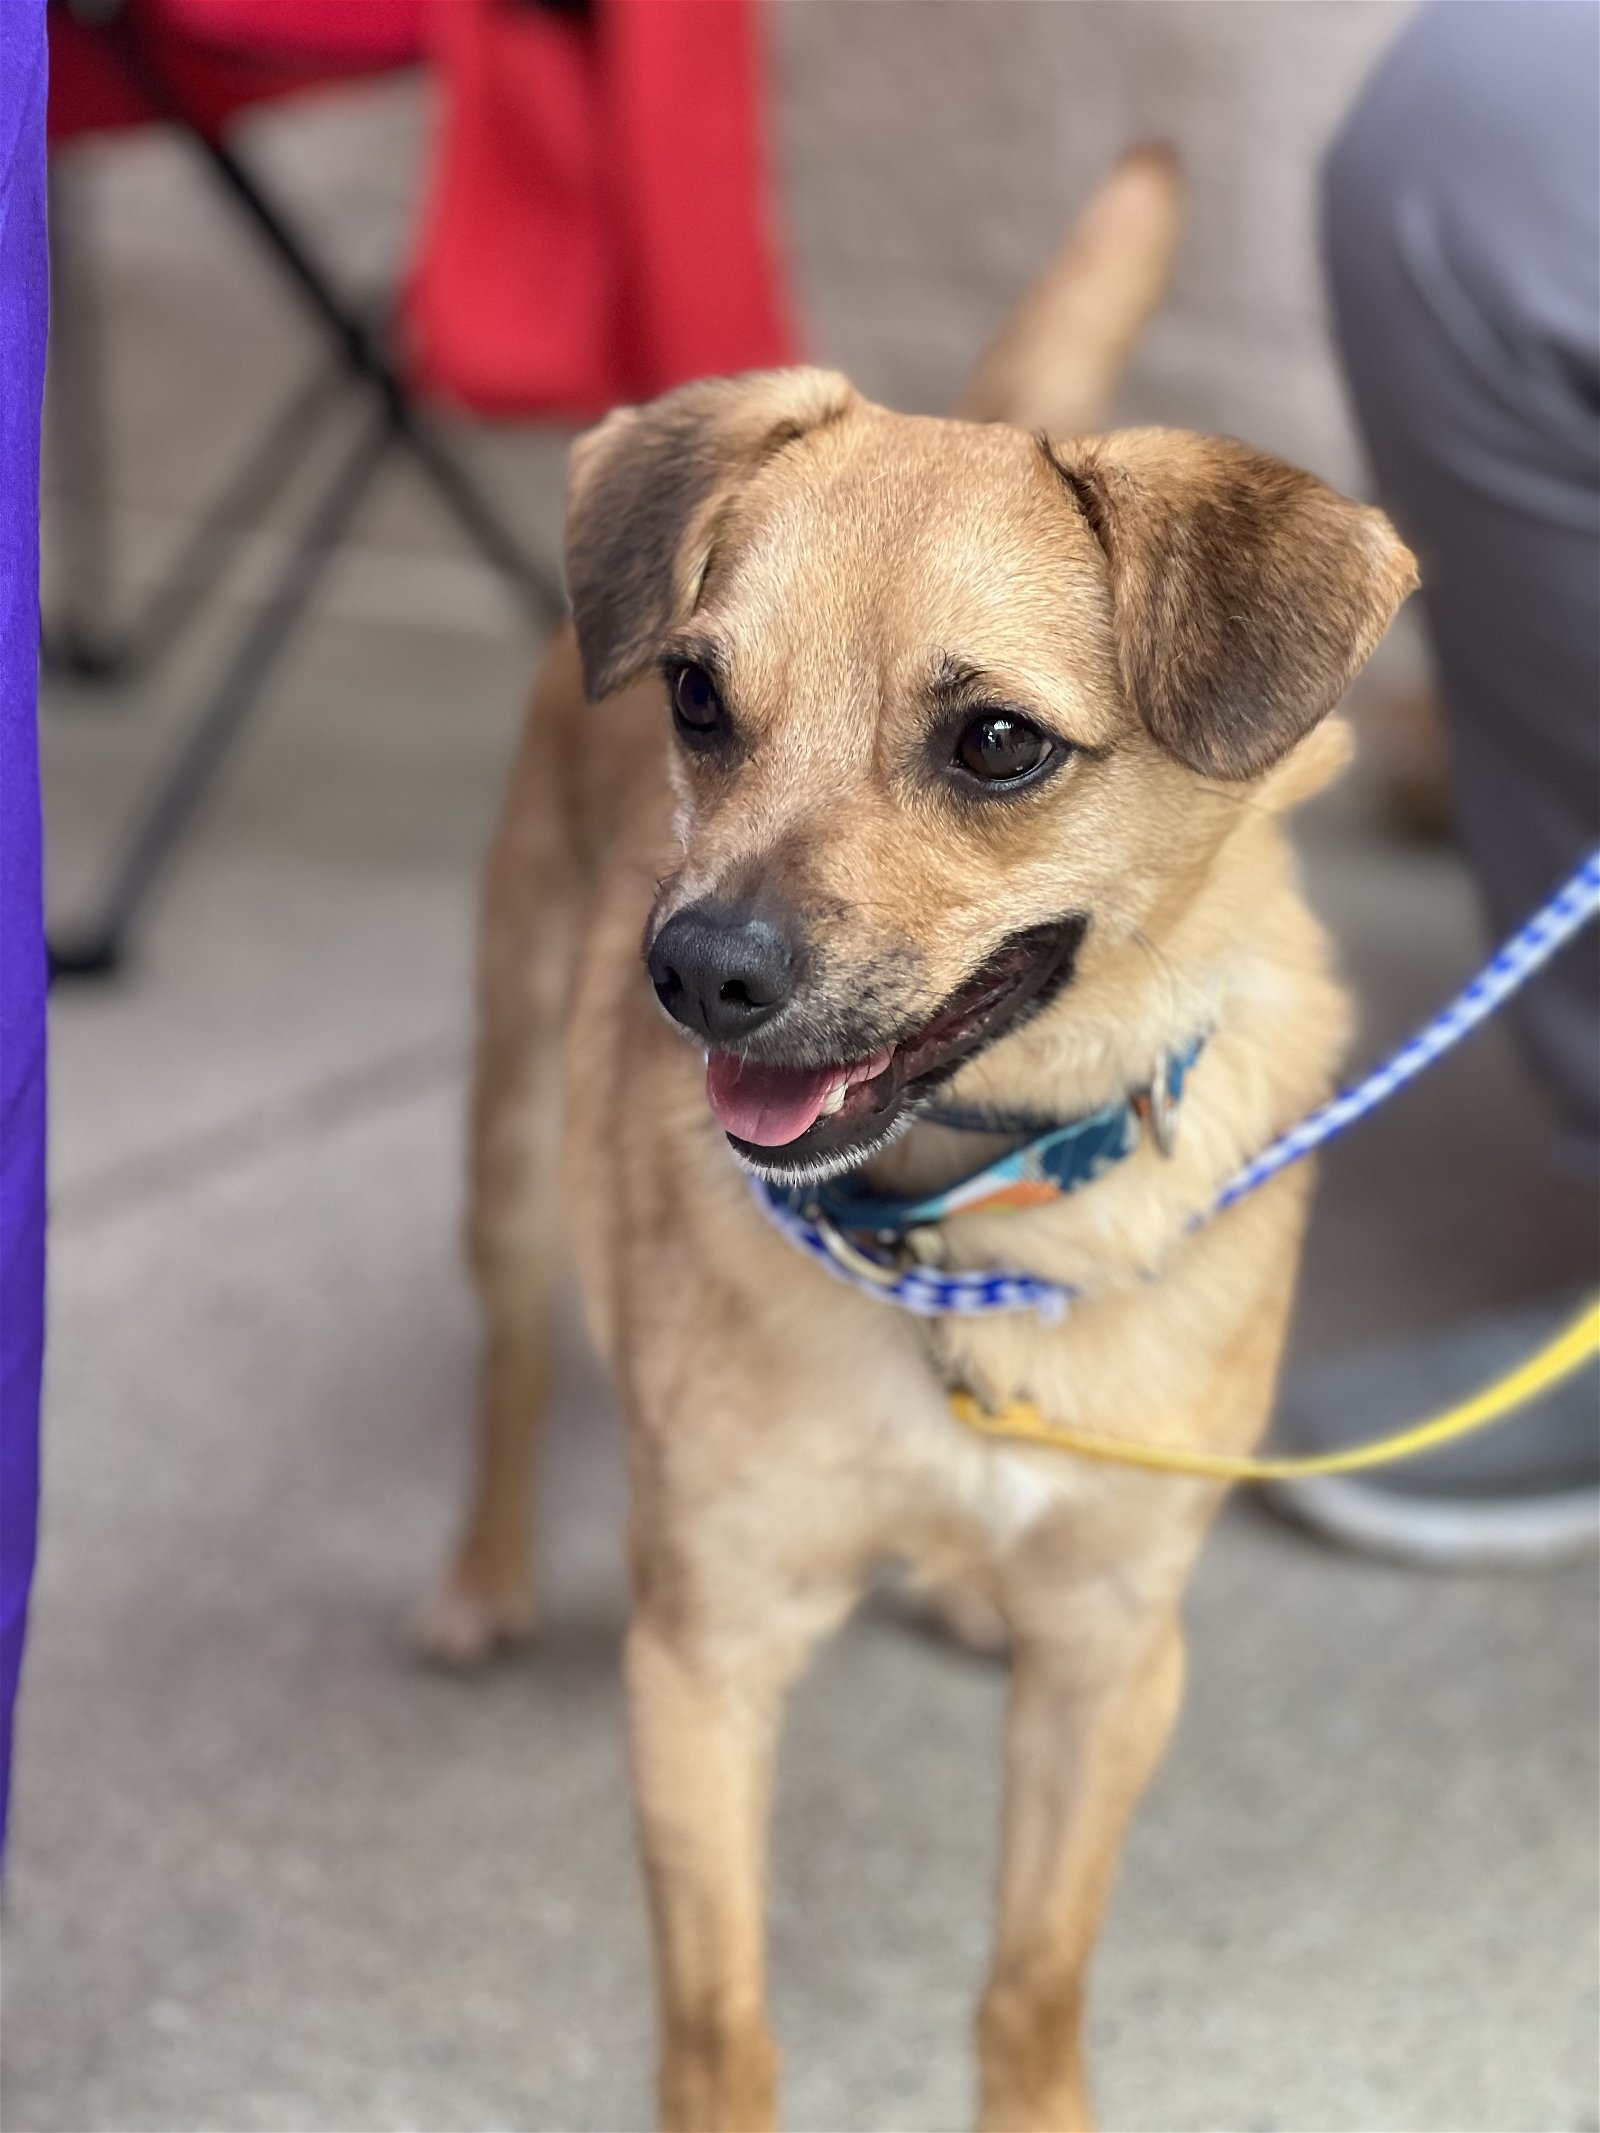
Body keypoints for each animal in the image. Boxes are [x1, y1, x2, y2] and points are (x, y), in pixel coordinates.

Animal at [422, 154, 1416, 2133]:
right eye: (697, 698)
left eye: (999, 744)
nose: (693, 968)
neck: (970, 1216)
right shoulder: (704, 1659)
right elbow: (721, 2025)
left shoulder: (1113, 1655)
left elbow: (1032, 1981)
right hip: (506, 1156)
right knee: (508, 1353)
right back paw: (483, 1575)